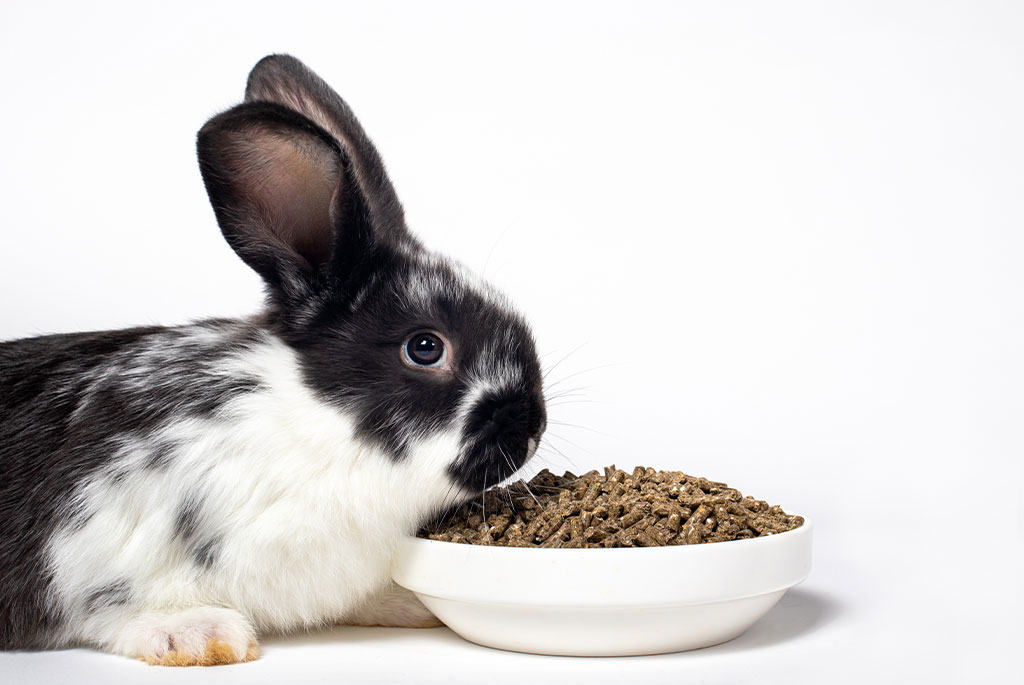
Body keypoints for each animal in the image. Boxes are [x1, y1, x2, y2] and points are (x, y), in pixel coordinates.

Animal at [0, 56, 544, 663]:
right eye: (425, 348)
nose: (531, 426)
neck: (319, 430)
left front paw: (412, 606)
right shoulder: (93, 541)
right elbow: (117, 610)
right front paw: (200, 635)